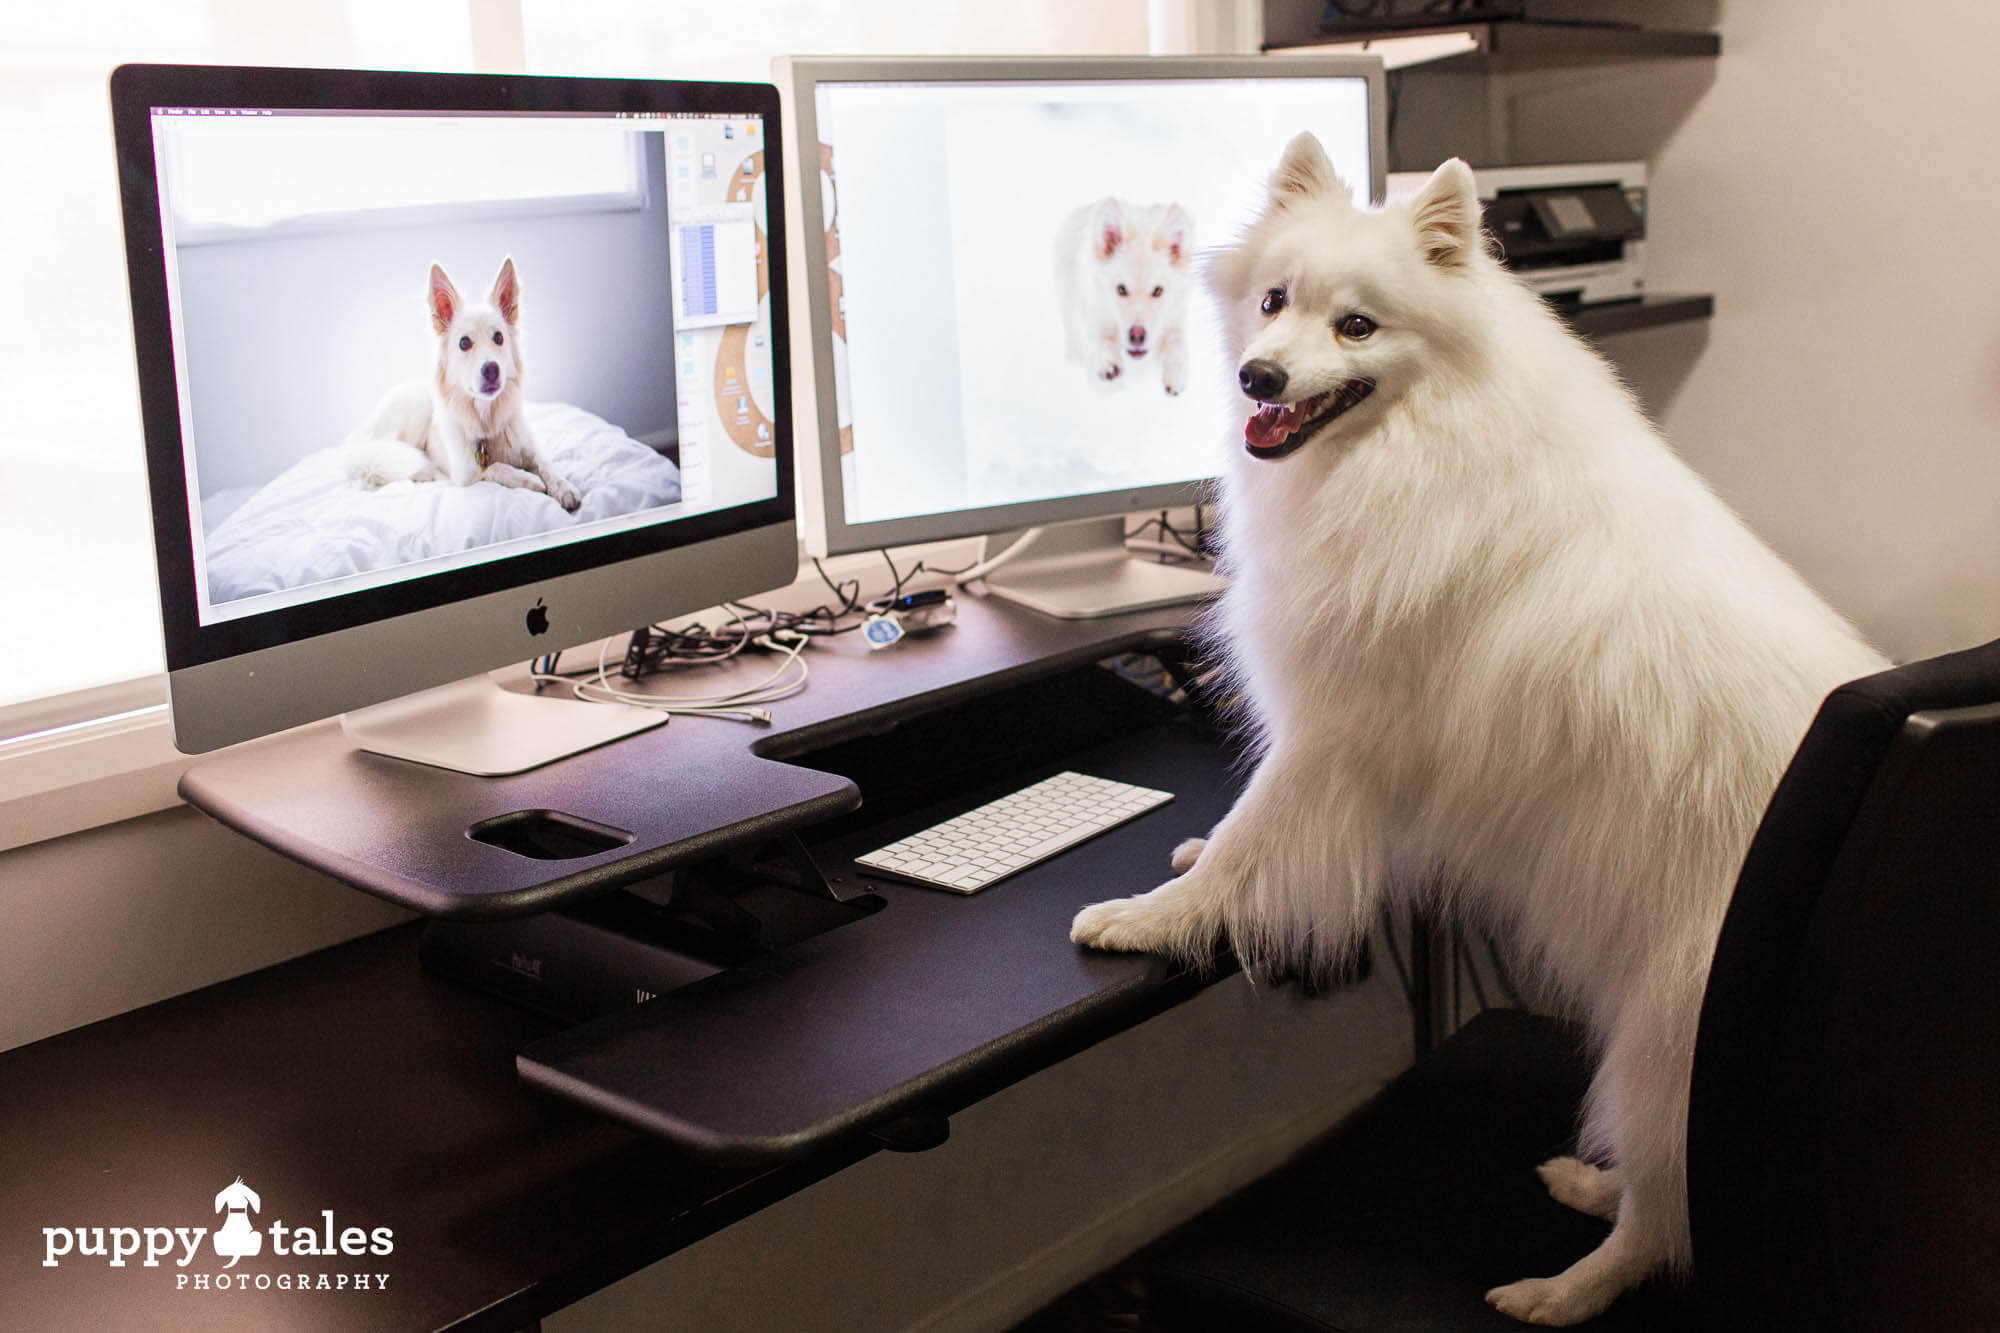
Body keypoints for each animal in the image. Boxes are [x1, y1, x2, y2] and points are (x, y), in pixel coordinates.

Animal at [342, 254, 580, 508]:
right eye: (464, 343)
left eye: (499, 338)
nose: (492, 369)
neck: (486, 418)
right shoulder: (466, 474)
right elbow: (496, 468)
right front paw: (529, 479)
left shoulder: (529, 447)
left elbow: (546, 463)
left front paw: (564, 487)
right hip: (416, 409)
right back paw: (424, 471)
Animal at [1056, 197, 1192, 392]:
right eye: (1121, 289)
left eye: (1158, 291)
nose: (1137, 336)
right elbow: (1101, 345)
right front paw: (1107, 364)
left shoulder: (1175, 320)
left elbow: (1177, 342)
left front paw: (1175, 373)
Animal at [1072, 135, 1880, 1320]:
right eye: (1273, 302)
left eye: (1357, 326)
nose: (1257, 377)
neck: (1423, 440)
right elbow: (1237, 834)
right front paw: (1183, 857)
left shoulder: (1332, 735)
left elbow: (1250, 841)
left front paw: (1149, 915)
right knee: (1668, 1196)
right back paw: (1588, 1186)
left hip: (1663, 1045)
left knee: (1664, 1222)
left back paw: (1561, 1289)